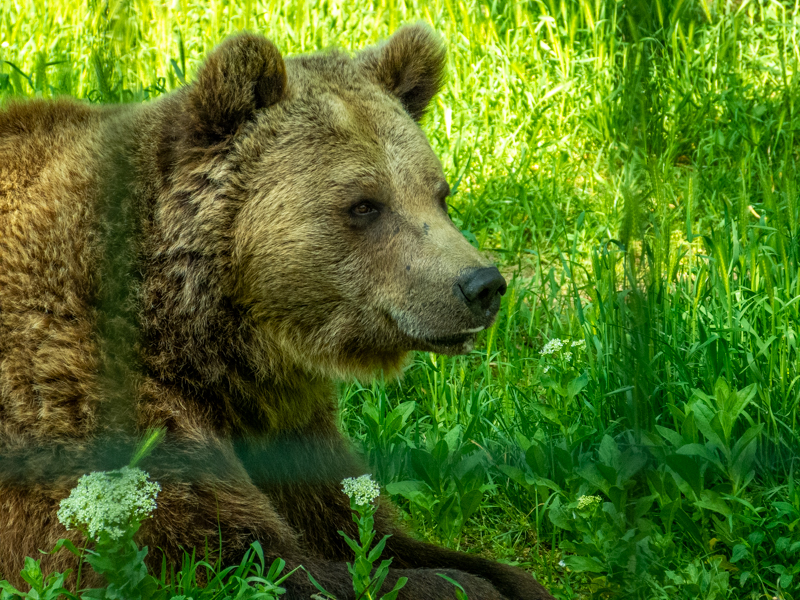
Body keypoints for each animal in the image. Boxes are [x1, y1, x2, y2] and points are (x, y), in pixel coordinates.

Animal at [0, 24, 554, 600]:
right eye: (364, 204)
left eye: (439, 194)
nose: (482, 285)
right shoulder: (80, 396)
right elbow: (238, 556)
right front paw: (457, 585)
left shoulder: (280, 415)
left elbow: (359, 525)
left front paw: (506, 577)